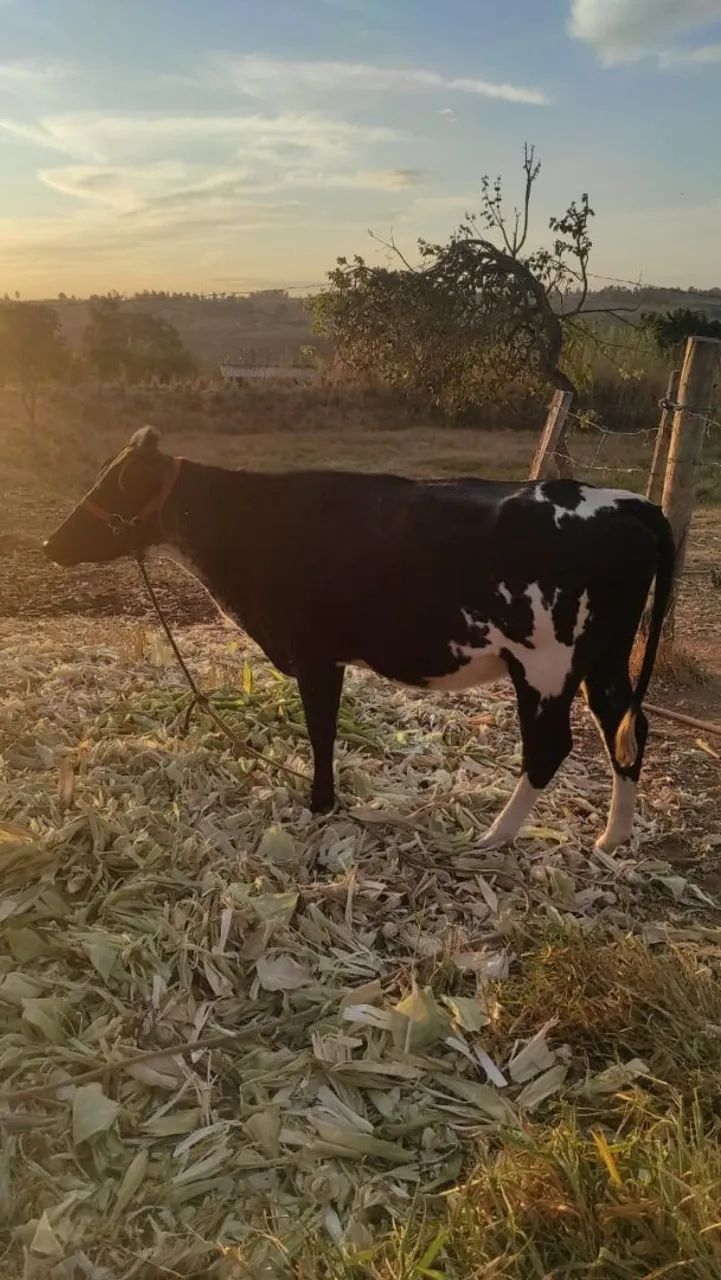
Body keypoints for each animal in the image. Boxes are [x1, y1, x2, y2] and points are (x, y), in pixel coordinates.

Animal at [44, 427, 674, 854]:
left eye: (113, 486)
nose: (51, 544)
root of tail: (625, 500)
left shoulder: (314, 652)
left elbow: (321, 730)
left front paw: (320, 803)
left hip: (545, 662)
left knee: (551, 746)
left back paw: (494, 836)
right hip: (604, 658)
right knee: (626, 728)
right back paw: (613, 838)